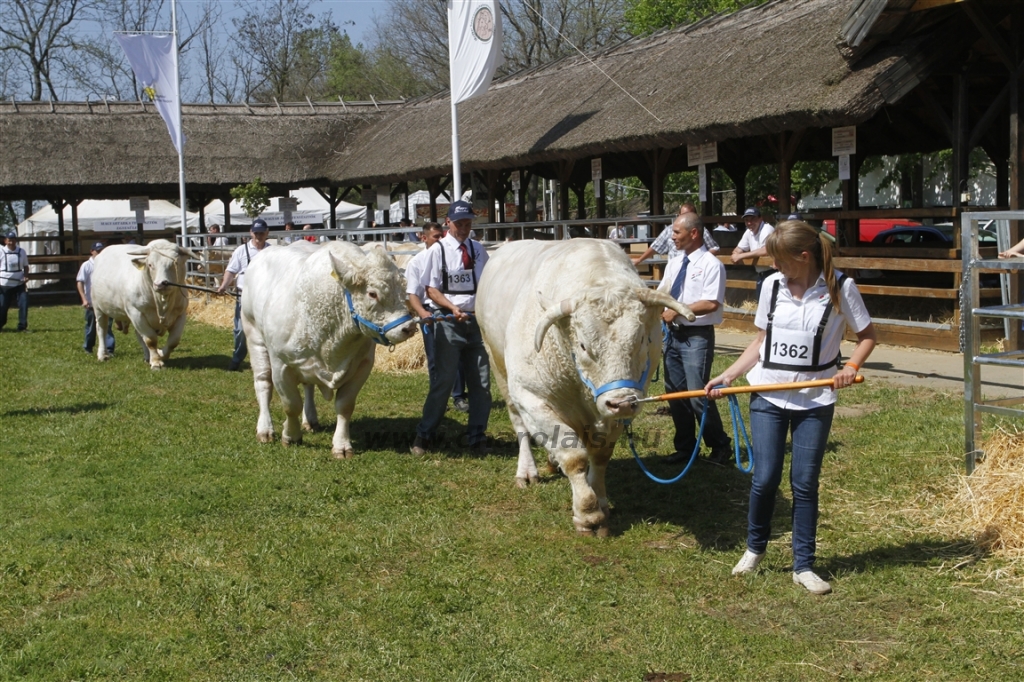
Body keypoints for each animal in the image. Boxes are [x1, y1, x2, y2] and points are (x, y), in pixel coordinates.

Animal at [92, 238, 197, 366]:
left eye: (174, 263)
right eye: (150, 264)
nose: (161, 284)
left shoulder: (180, 314)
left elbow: (173, 341)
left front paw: (161, 355)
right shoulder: (136, 313)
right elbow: (150, 339)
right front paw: (156, 362)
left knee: (139, 335)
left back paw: (148, 356)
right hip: (98, 308)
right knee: (101, 329)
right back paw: (103, 355)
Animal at [241, 238, 417, 456]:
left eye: (403, 290)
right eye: (372, 293)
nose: (408, 327)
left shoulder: (362, 366)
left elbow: (344, 406)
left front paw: (341, 445)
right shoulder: (281, 364)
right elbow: (291, 404)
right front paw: (290, 435)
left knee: (307, 386)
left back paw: (310, 420)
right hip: (254, 335)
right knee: (263, 382)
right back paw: (265, 429)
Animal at [475, 238, 692, 536]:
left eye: (642, 340)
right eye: (583, 345)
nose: (622, 402)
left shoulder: (611, 414)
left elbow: (600, 455)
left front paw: (600, 501)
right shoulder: (532, 397)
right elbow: (573, 456)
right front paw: (588, 513)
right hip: (499, 368)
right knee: (519, 424)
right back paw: (527, 471)